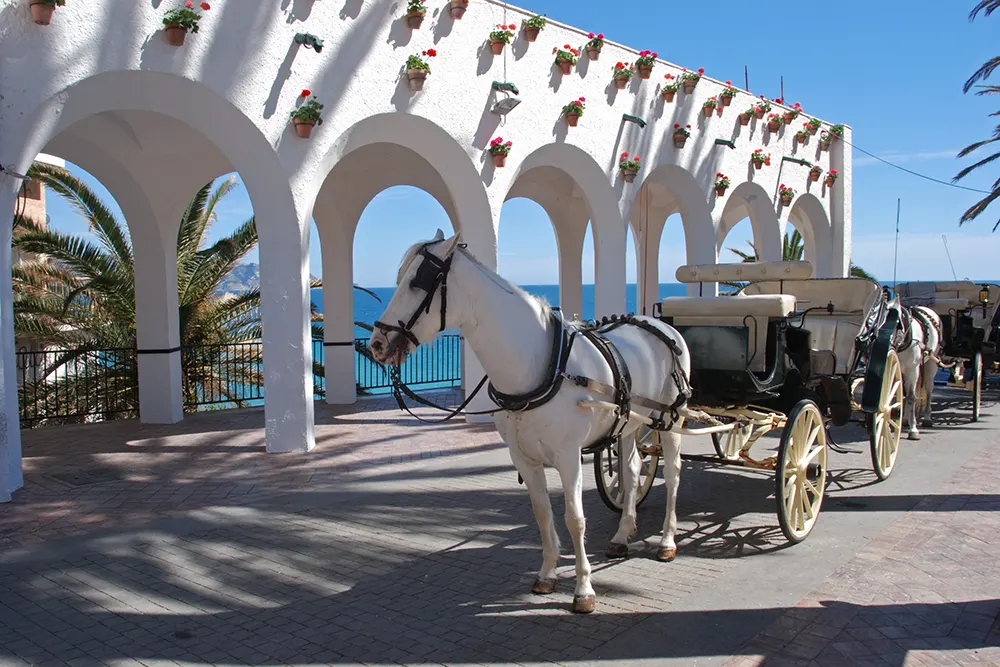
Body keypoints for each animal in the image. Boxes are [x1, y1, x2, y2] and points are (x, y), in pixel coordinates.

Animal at [372, 231, 692, 616]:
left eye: (418, 281)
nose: (376, 343)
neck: (542, 365)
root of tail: (658, 324)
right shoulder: (523, 457)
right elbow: (543, 514)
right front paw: (548, 574)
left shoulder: (569, 457)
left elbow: (574, 518)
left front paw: (583, 589)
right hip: (629, 423)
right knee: (631, 469)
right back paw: (621, 534)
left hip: (670, 419)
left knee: (673, 473)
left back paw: (667, 540)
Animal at [896, 302, 940, 438]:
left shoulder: (912, 369)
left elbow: (911, 397)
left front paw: (913, 429)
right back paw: (905, 419)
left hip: (932, 362)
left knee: (929, 388)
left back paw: (927, 418)